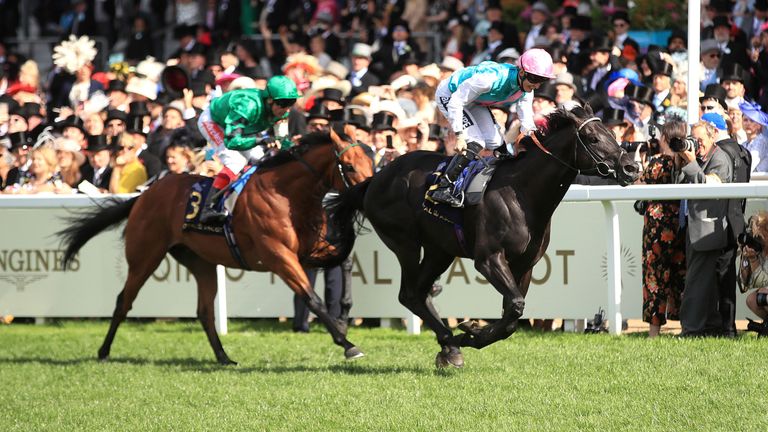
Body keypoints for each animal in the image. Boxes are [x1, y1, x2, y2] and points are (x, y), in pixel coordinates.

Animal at [56, 128, 372, 364]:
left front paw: (344, 313)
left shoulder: (308, 251)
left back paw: (223, 357)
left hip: (201, 263)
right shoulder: (279, 256)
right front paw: (347, 343)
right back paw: (103, 351)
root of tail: (143, 195)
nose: (368, 193)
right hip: (145, 256)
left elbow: (345, 260)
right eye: (350, 166)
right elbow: (312, 298)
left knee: (204, 311)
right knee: (124, 301)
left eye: (372, 162)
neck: (287, 193)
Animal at [332, 106, 640, 366]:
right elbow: (514, 307)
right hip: (405, 243)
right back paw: (449, 342)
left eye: (614, 135)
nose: (632, 168)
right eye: (592, 138)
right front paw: (470, 332)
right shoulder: (489, 259)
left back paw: (449, 346)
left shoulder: (525, 265)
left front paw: (470, 332)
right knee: (409, 293)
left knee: (418, 293)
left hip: (439, 250)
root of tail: (374, 179)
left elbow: (512, 315)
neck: (522, 193)